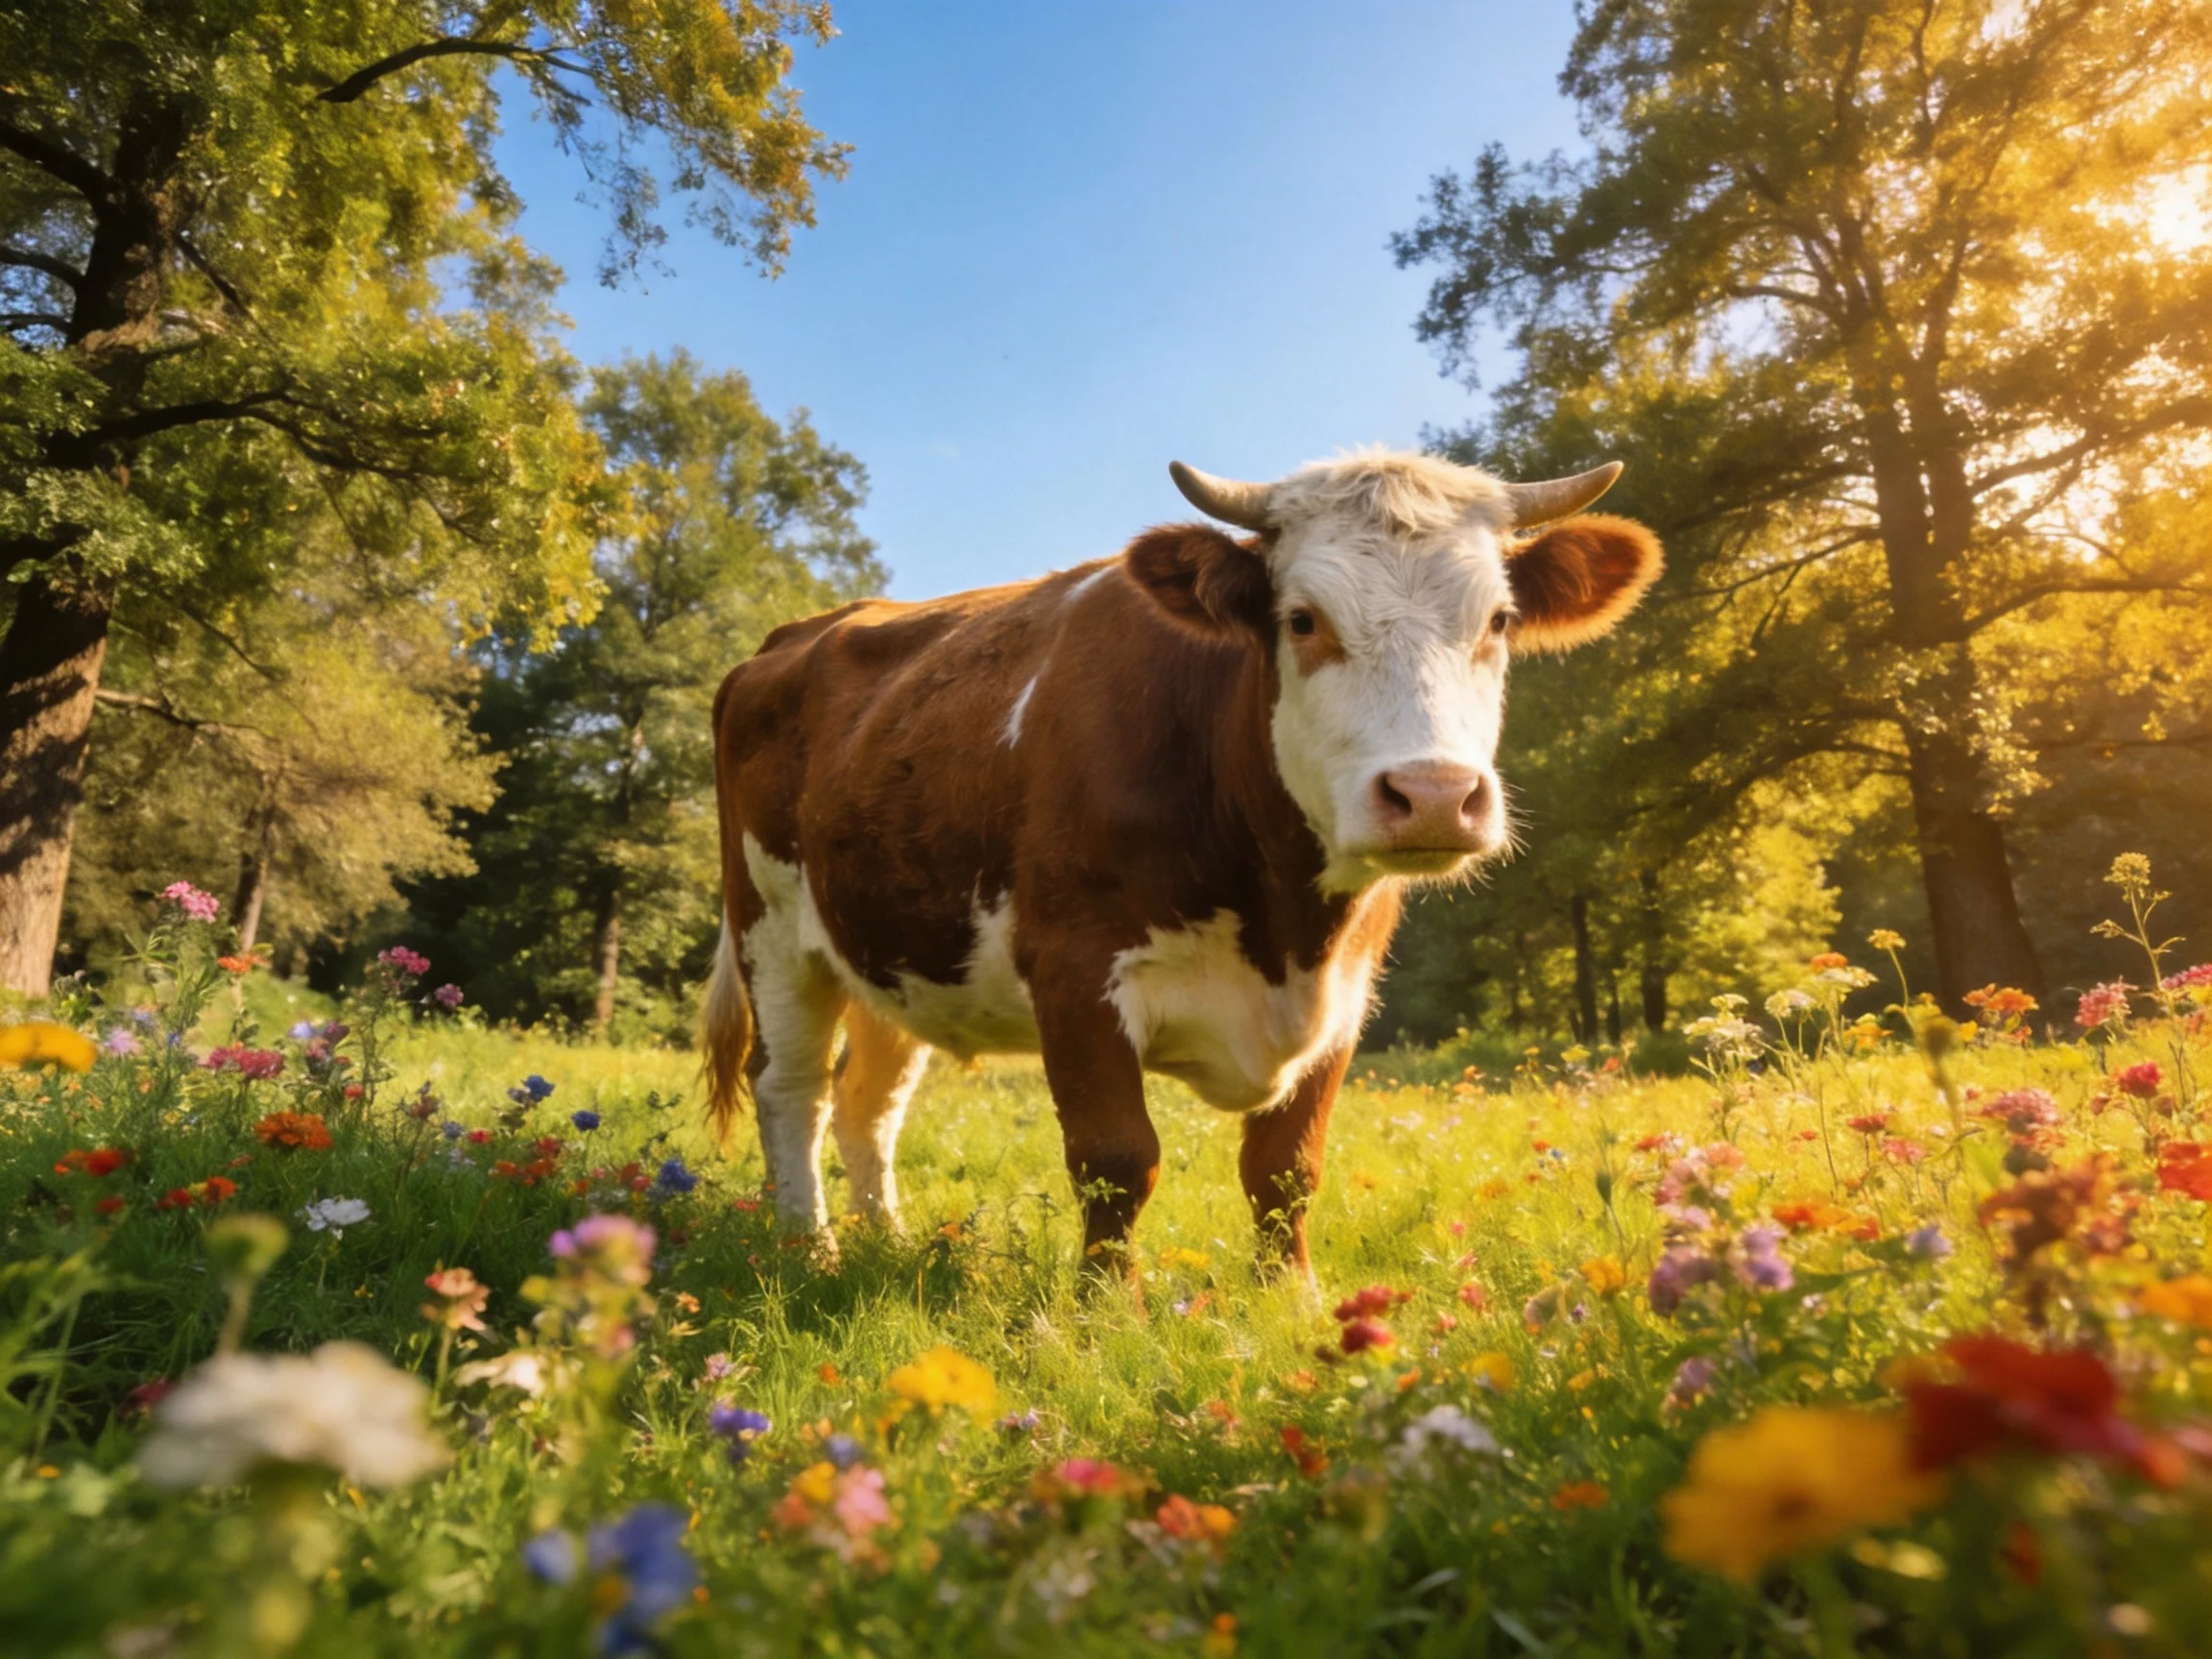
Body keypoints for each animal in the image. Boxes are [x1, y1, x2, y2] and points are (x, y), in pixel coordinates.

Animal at [702, 449, 1661, 1283]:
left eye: (1498, 620)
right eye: (1302, 618)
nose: (1432, 794)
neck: (1284, 929)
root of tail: (800, 631)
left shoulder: (1348, 994)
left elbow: (1285, 1167)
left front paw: (1291, 1298)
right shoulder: (1075, 968)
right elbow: (1116, 1158)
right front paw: (1102, 1312)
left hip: (894, 952)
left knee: (868, 1103)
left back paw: (889, 1243)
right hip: (771, 933)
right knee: (790, 1089)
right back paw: (809, 1250)